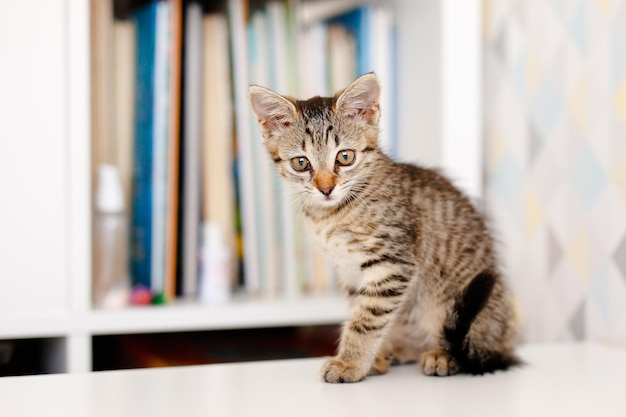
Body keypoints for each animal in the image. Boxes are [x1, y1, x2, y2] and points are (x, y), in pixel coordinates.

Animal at [249, 73, 516, 382]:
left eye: (345, 157)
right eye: (301, 162)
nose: (326, 189)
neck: (331, 216)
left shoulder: (392, 262)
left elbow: (367, 318)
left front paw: (350, 362)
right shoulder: (349, 271)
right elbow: (360, 310)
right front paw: (369, 358)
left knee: (476, 346)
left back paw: (443, 355)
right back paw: (397, 350)